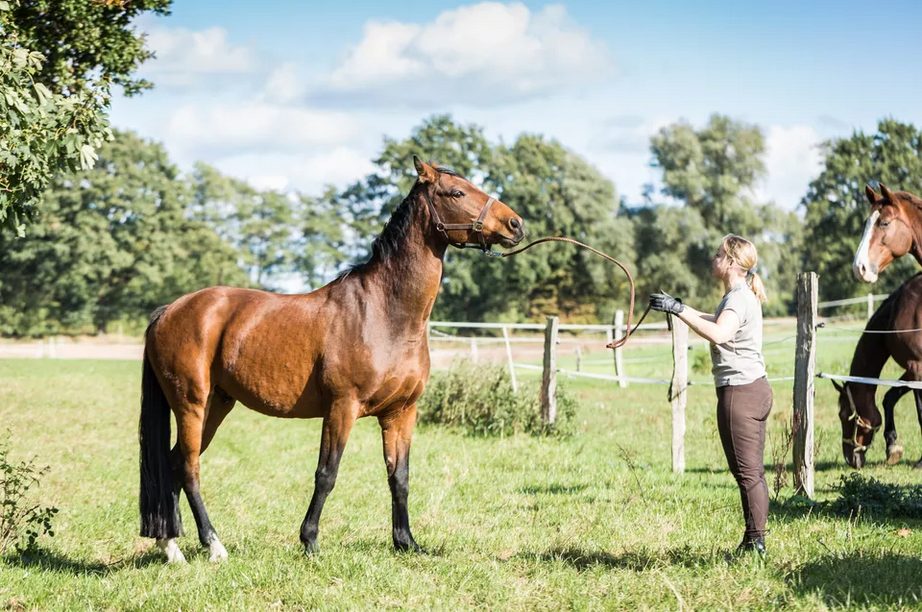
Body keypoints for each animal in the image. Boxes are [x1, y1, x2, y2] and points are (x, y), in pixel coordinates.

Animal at [137, 155, 524, 560]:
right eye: (457, 192)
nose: (516, 224)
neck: (384, 312)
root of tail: (169, 311)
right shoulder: (342, 407)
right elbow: (327, 474)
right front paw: (309, 541)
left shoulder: (401, 412)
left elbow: (399, 477)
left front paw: (406, 542)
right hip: (191, 405)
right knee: (189, 467)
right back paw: (213, 545)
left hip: (217, 405)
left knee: (173, 464)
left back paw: (171, 547)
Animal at [832, 272, 920, 468]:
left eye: (844, 415)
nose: (849, 459)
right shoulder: (912, 369)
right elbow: (889, 398)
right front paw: (892, 448)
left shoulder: (917, 367)